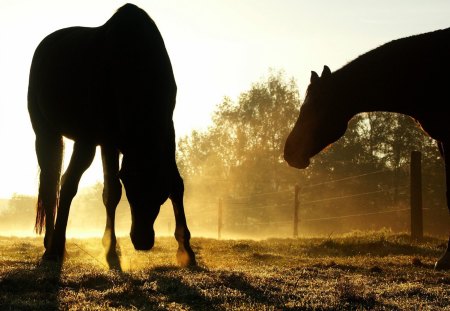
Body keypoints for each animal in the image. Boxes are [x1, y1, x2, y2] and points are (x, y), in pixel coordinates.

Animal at [27, 3, 196, 268]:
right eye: (132, 189)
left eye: (159, 192)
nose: (142, 241)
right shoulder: (99, 139)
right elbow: (101, 190)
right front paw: (106, 249)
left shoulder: (165, 133)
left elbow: (175, 184)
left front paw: (185, 249)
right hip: (47, 133)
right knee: (52, 184)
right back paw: (51, 246)